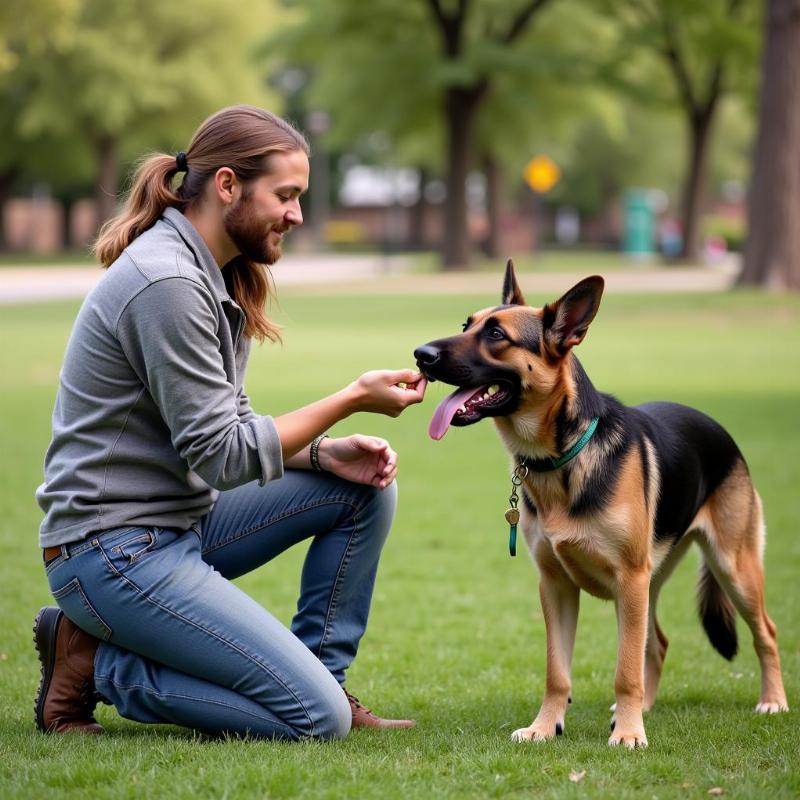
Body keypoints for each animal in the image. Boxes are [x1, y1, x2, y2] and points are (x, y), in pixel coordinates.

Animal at [416, 264, 792, 752]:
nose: (420, 354)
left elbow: (624, 669)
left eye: (496, 334)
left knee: (765, 631)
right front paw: (545, 727)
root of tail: (717, 427)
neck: (563, 456)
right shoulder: (556, 586)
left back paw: (771, 701)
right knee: (658, 642)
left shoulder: (628, 581)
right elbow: (557, 672)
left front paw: (630, 734)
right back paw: (644, 709)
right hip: (651, 583)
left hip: (731, 568)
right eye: (467, 325)